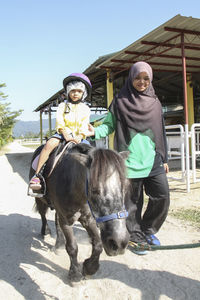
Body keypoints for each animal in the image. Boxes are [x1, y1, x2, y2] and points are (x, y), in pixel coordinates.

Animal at [28, 143, 130, 282]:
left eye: (125, 187)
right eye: (94, 189)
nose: (119, 243)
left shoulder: (88, 219)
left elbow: (98, 244)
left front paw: (89, 268)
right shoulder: (66, 221)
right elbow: (72, 247)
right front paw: (75, 274)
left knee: (56, 221)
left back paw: (58, 245)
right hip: (40, 199)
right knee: (43, 215)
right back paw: (46, 232)